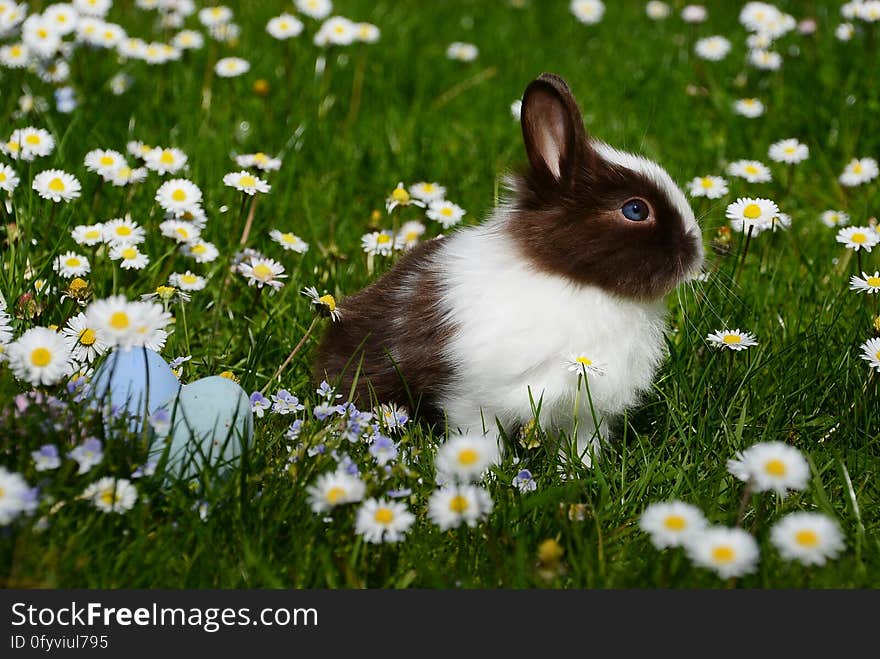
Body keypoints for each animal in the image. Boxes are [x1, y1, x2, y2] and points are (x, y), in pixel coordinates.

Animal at [314, 73, 700, 464]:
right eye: (636, 210)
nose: (696, 252)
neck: (574, 281)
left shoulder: (587, 411)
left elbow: (580, 445)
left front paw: (578, 471)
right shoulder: (473, 399)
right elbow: (478, 438)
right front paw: (483, 471)